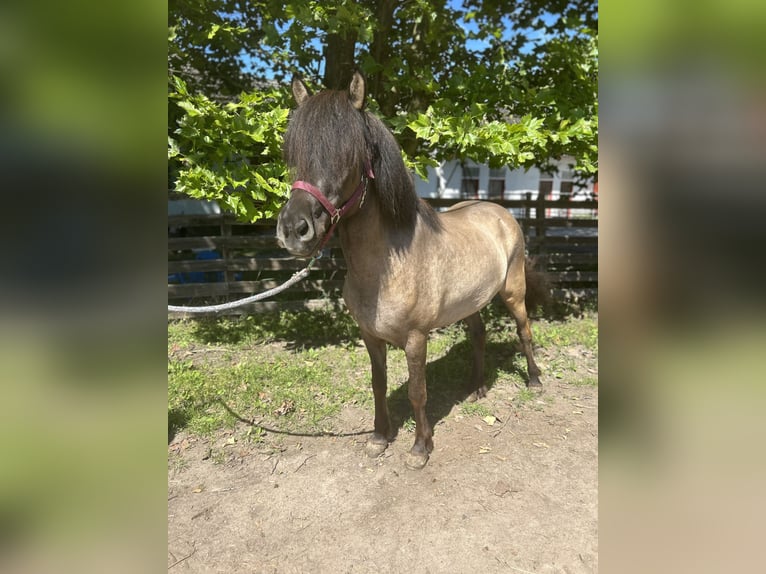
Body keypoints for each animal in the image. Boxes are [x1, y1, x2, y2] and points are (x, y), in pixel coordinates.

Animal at [280, 72, 544, 470]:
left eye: (349, 156)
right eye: (296, 156)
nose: (294, 229)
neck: (386, 267)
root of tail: (501, 212)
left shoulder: (416, 338)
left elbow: (418, 392)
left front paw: (420, 448)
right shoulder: (370, 337)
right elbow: (379, 384)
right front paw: (379, 438)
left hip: (513, 293)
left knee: (524, 332)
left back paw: (534, 381)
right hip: (471, 302)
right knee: (479, 336)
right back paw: (477, 388)